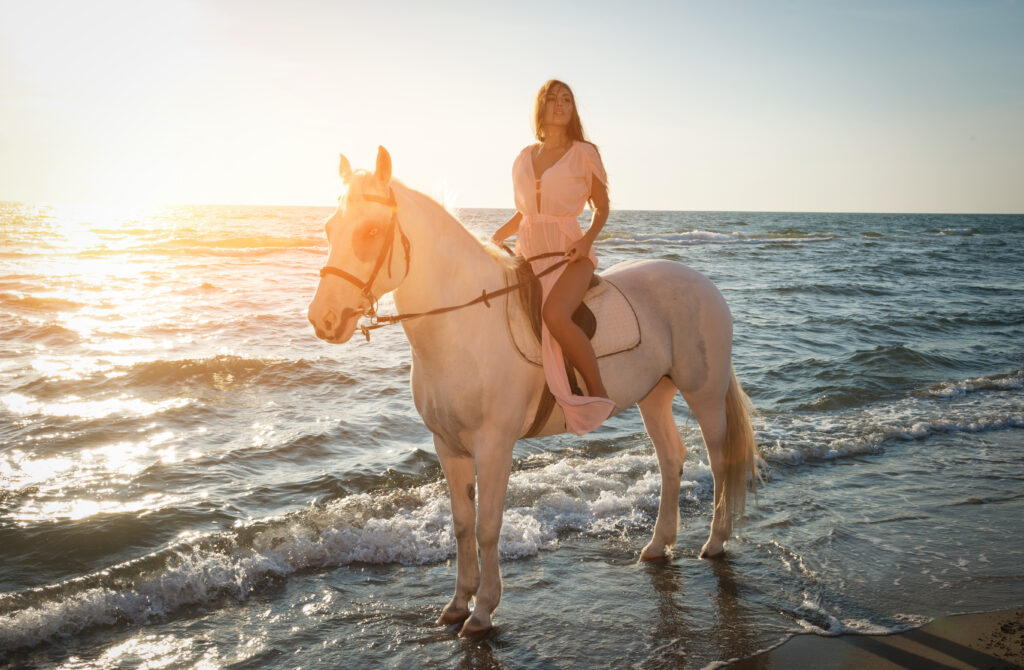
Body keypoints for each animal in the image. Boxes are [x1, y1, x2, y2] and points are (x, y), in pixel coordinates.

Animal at [307, 146, 762, 637]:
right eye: (330, 228)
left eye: (371, 231)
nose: (322, 319)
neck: (463, 325)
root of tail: (702, 283)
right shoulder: (447, 445)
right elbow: (462, 524)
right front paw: (458, 603)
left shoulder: (494, 444)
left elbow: (488, 526)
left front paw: (483, 610)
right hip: (654, 395)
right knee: (671, 460)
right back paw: (658, 545)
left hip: (704, 392)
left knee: (719, 460)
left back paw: (714, 542)